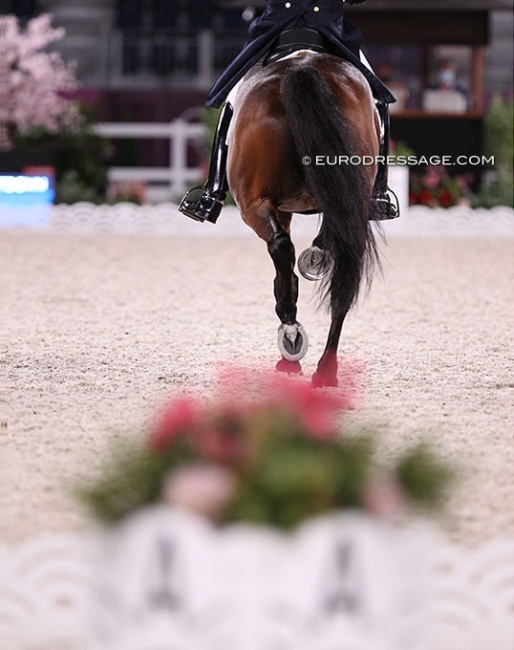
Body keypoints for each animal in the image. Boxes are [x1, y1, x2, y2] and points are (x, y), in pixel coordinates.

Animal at [226, 52, 378, 384]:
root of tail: (303, 68)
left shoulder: (274, 208)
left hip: (253, 204)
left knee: (281, 247)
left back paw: (291, 335)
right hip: (348, 197)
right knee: (345, 266)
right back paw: (326, 368)